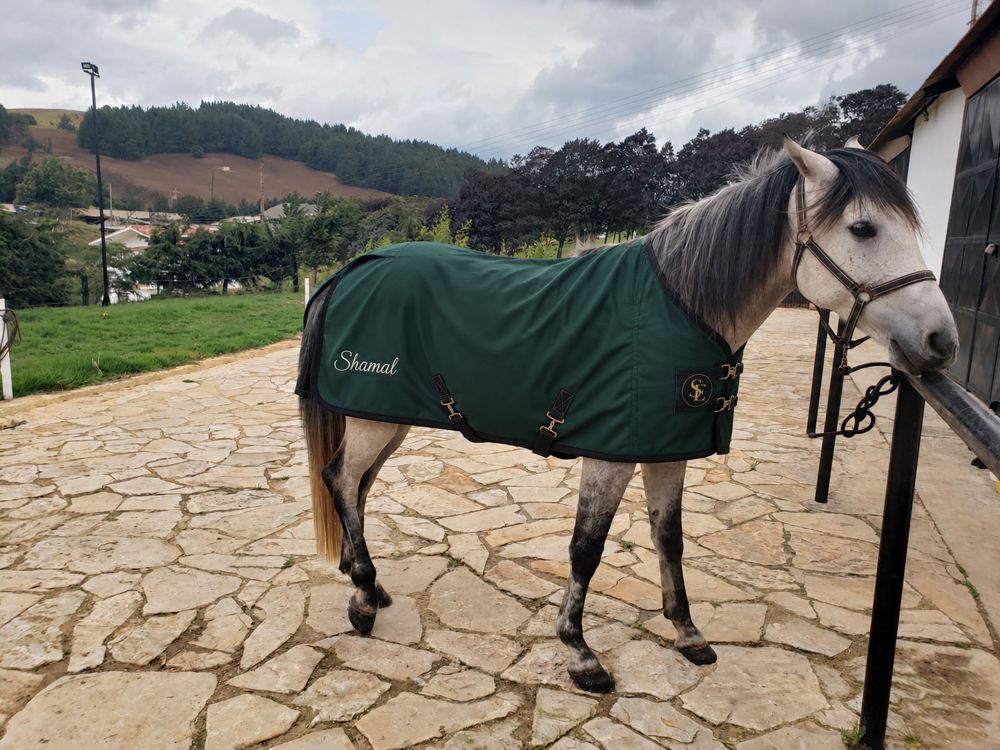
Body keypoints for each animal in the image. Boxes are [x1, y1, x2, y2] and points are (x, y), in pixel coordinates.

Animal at [296, 137, 958, 693]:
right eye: (863, 228)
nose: (940, 343)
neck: (684, 306)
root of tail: (350, 269)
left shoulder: (667, 451)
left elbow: (670, 538)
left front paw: (687, 633)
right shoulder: (609, 455)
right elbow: (586, 549)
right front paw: (580, 653)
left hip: (387, 417)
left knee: (356, 485)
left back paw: (368, 583)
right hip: (373, 418)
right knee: (342, 481)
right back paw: (362, 599)